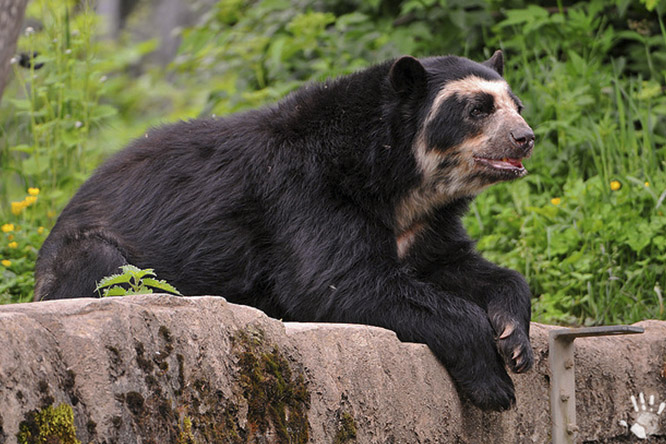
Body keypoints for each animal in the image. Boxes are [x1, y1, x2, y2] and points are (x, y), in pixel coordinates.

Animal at [34, 50, 535, 411]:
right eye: (477, 109)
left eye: (517, 106)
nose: (526, 137)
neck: (400, 182)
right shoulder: (306, 193)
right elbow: (339, 283)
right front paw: (494, 385)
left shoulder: (425, 224)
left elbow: (460, 266)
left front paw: (515, 341)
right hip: (88, 255)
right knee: (101, 267)